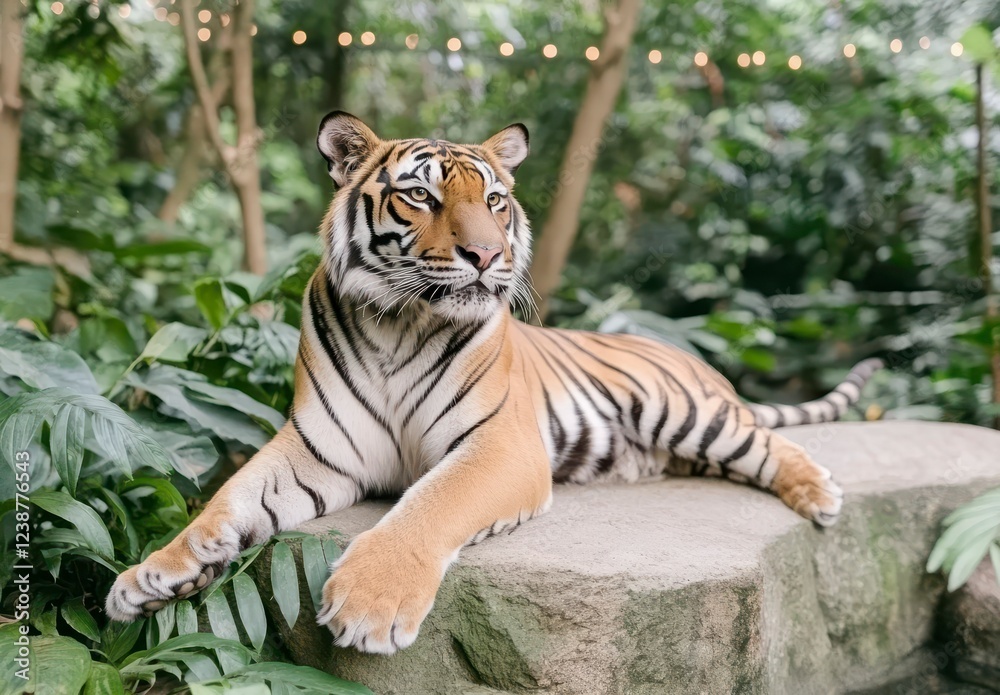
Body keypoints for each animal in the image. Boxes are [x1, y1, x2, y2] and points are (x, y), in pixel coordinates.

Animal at [106, 112, 882, 654]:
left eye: (497, 200)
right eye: (420, 196)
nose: (487, 255)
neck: (399, 324)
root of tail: (685, 354)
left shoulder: (498, 445)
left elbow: (429, 504)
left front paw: (369, 602)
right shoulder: (318, 447)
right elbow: (228, 499)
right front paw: (153, 574)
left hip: (684, 409)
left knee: (767, 442)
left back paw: (820, 494)